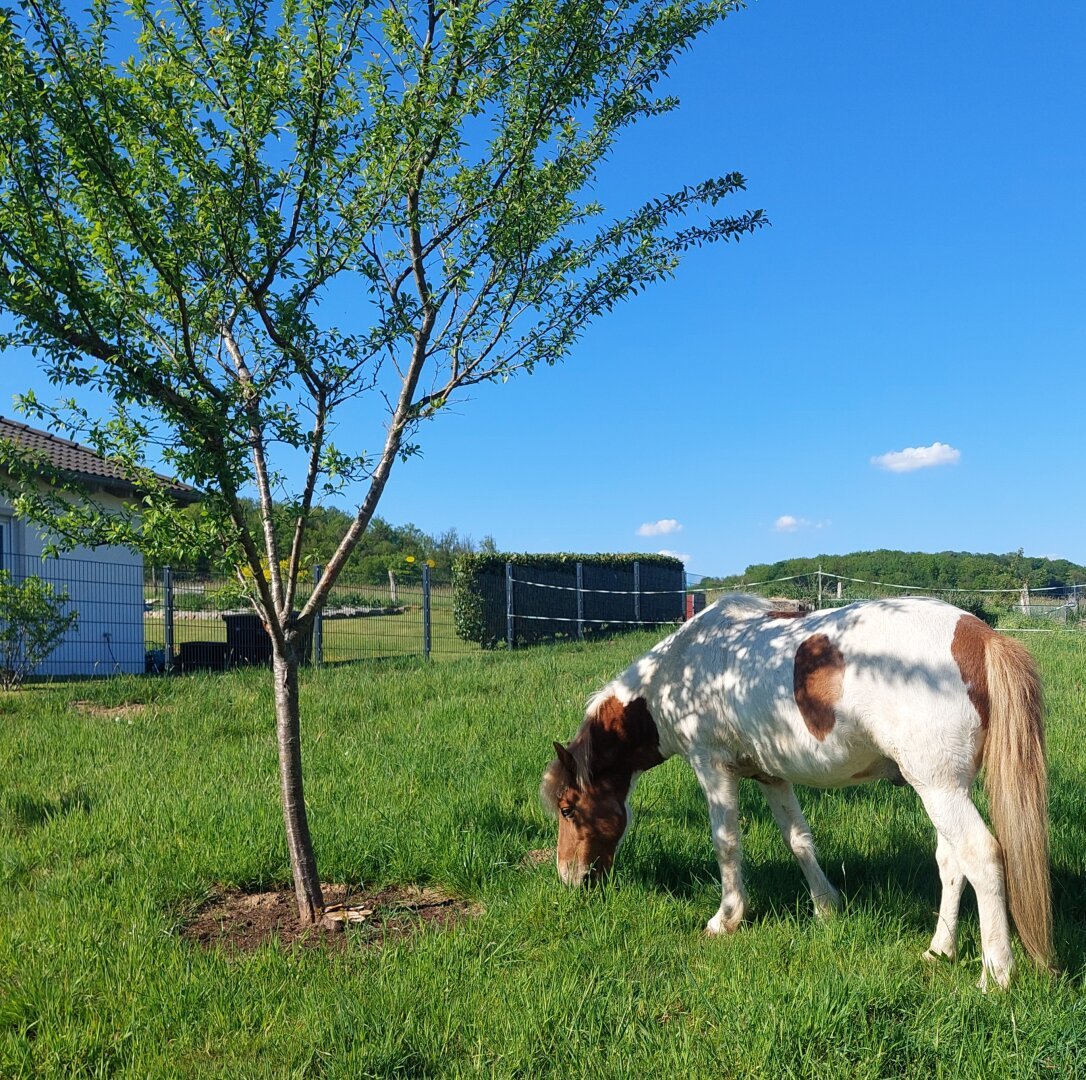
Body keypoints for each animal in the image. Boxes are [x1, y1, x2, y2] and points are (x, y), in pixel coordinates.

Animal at [540, 593, 1054, 989]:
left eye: (568, 809)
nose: (569, 878)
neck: (683, 672)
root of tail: (980, 636)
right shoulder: (772, 775)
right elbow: (799, 840)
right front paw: (827, 908)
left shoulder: (713, 767)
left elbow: (727, 844)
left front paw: (726, 919)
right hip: (941, 789)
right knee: (951, 863)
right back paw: (939, 951)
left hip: (940, 789)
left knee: (981, 857)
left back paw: (995, 977)